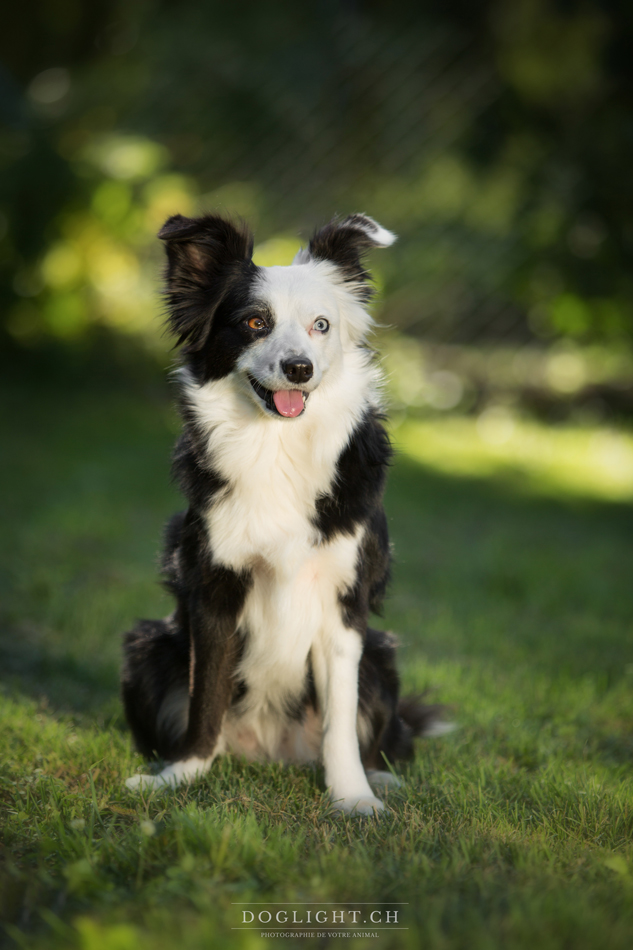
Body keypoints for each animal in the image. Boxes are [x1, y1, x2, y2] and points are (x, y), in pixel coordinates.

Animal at [122, 212, 444, 816]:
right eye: (254, 322)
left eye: (321, 325)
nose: (299, 368)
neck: (278, 447)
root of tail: (269, 751)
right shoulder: (213, 592)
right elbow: (205, 699)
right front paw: (181, 775)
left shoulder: (343, 604)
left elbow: (340, 719)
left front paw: (353, 798)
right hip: (147, 646)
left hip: (381, 657)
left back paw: (378, 776)